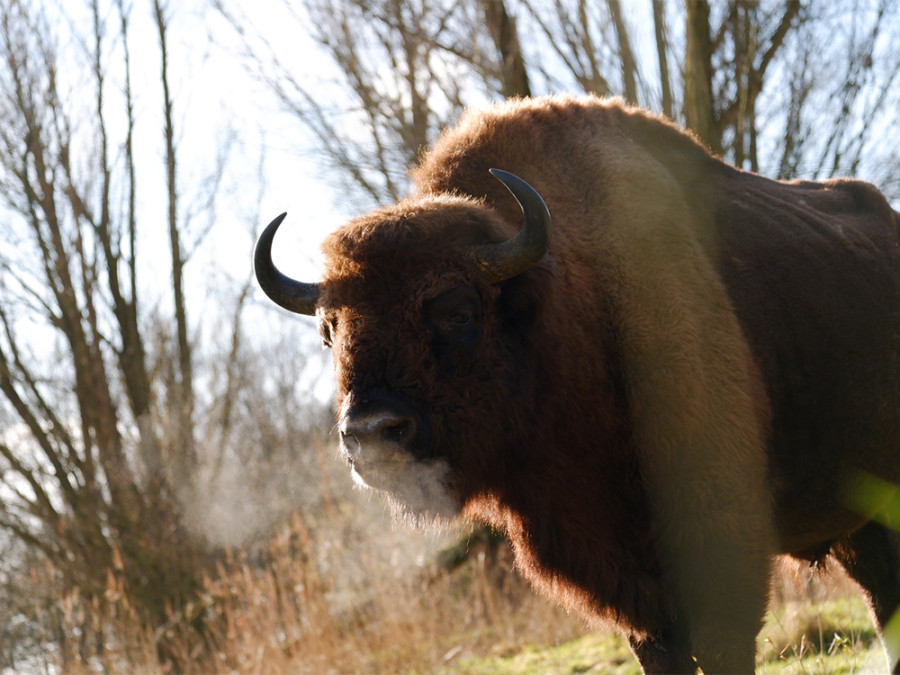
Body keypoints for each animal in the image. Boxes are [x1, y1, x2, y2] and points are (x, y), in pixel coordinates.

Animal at [253, 96, 900, 675]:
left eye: (458, 310)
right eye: (329, 331)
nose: (370, 433)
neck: (572, 305)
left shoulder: (718, 539)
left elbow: (721, 647)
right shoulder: (621, 575)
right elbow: (659, 652)